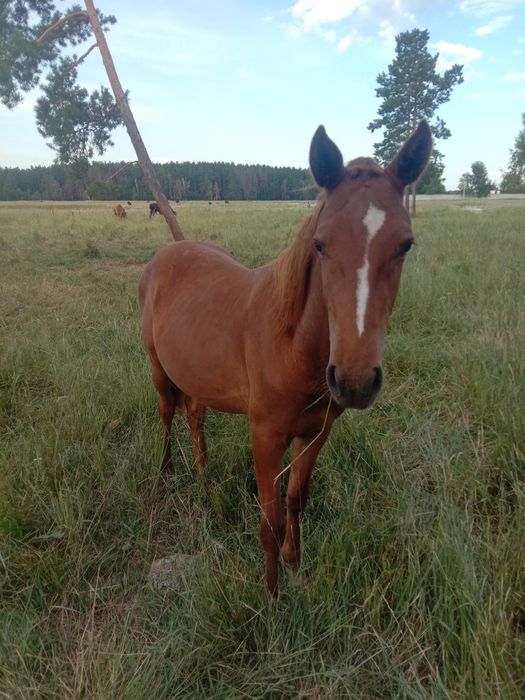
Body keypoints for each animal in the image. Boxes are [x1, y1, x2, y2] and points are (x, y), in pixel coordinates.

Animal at [139, 121, 431, 597]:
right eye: (320, 244)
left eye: (405, 244)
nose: (354, 381)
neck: (293, 347)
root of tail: (165, 255)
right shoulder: (265, 436)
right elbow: (270, 521)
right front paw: (272, 599)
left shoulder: (315, 433)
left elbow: (296, 501)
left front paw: (296, 569)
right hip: (158, 368)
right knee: (167, 414)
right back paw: (165, 476)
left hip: (196, 374)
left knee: (195, 416)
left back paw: (203, 479)